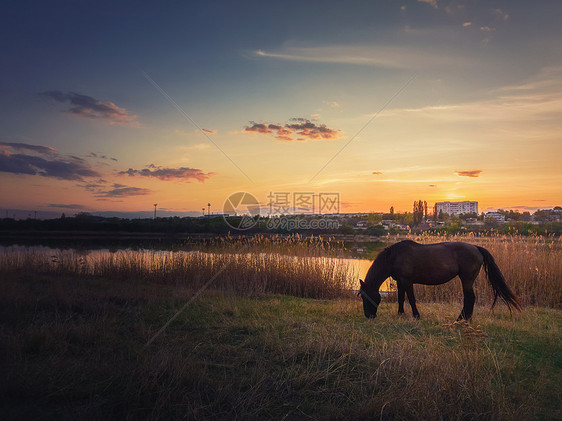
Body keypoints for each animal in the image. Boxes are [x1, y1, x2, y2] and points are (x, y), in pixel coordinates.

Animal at [356, 240, 520, 318]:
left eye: (365, 296)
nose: (368, 316)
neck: (394, 257)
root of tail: (476, 247)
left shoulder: (408, 282)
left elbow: (411, 299)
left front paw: (416, 316)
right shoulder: (400, 282)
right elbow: (401, 299)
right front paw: (400, 314)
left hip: (466, 280)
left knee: (470, 298)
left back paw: (462, 319)